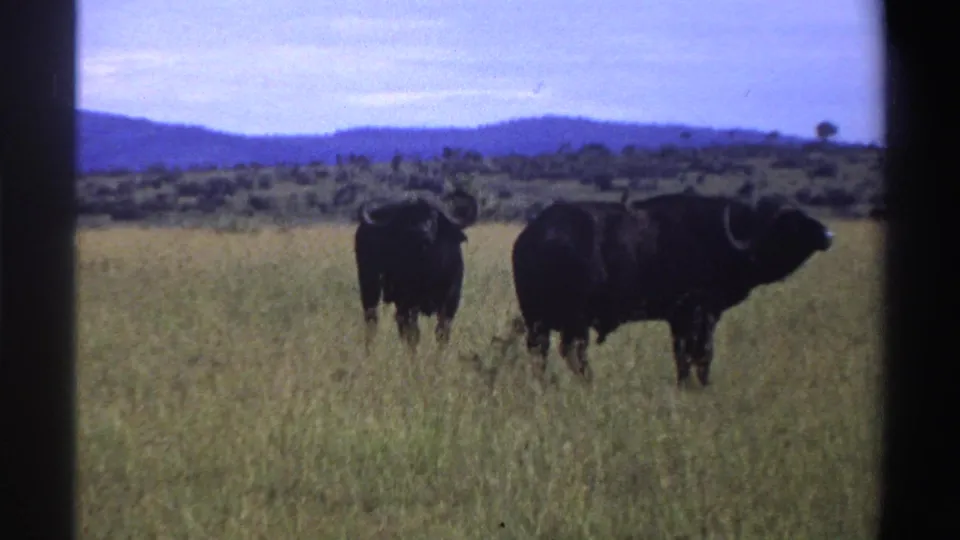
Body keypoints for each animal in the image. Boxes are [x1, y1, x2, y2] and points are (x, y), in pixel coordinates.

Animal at [354, 188, 480, 352]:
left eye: (433, 216)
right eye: (408, 217)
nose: (420, 231)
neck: (427, 269)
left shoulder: (451, 300)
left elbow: (442, 332)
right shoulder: (407, 302)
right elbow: (413, 334)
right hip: (369, 285)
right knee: (372, 318)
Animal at [511, 192, 834, 387]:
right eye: (791, 222)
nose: (828, 235)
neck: (727, 243)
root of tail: (532, 237)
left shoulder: (679, 320)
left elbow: (683, 355)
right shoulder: (698, 314)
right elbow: (701, 353)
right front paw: (699, 385)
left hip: (540, 321)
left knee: (545, 353)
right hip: (572, 320)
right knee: (573, 352)